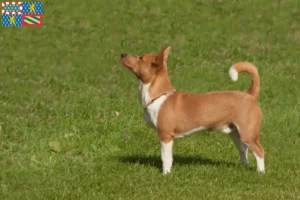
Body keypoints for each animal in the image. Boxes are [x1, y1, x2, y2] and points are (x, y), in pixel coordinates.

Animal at [120, 46, 264, 173]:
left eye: (140, 58)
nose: (122, 54)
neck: (159, 96)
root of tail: (250, 95)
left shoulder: (166, 136)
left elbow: (166, 158)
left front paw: (166, 174)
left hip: (248, 134)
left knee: (259, 151)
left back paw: (260, 172)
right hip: (235, 133)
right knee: (244, 150)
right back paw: (244, 167)